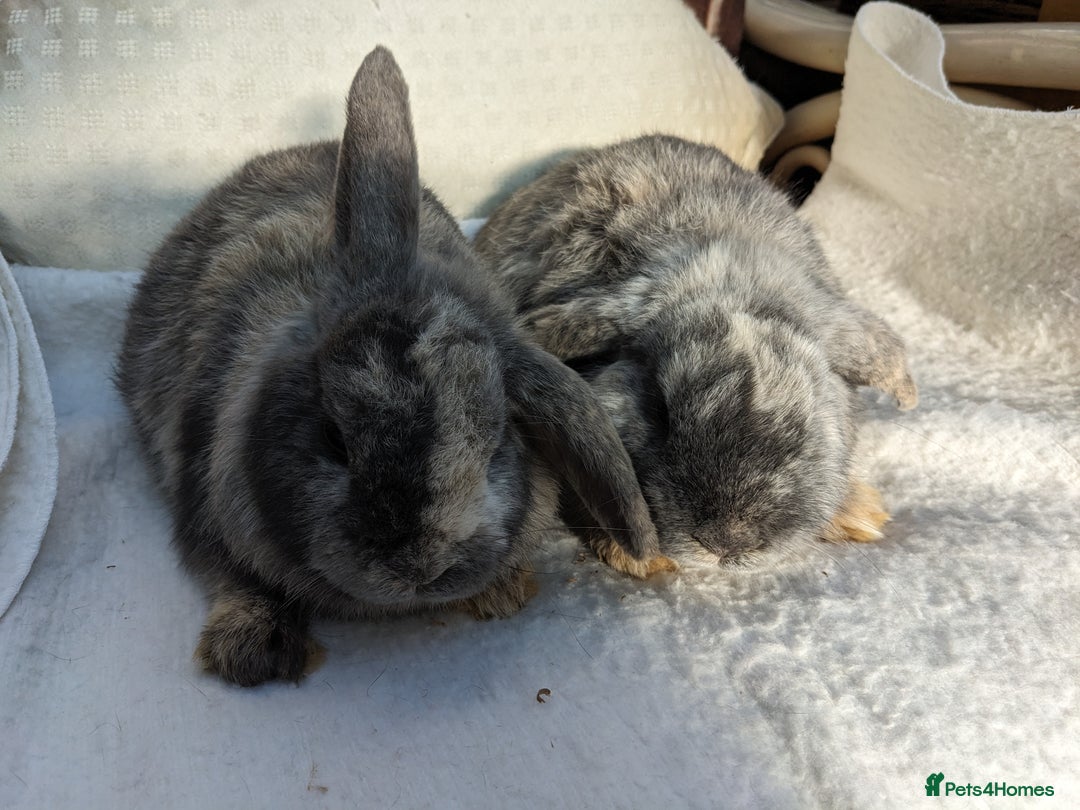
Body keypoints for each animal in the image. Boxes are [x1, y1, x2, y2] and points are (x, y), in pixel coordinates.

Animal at [115, 48, 658, 686]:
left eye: (497, 446)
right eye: (334, 438)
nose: (419, 568)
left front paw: (501, 594)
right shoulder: (202, 498)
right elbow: (236, 577)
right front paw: (253, 651)